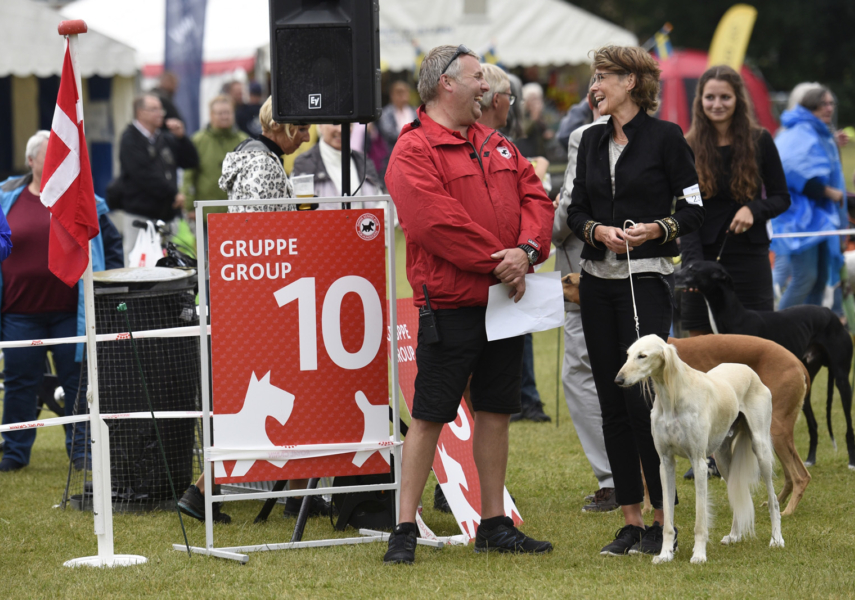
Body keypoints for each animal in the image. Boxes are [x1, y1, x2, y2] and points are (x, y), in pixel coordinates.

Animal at [616, 336, 788, 564]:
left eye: (642, 356)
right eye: (627, 355)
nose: (618, 379)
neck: (672, 396)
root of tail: (747, 369)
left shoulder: (698, 462)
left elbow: (700, 520)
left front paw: (698, 554)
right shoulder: (666, 463)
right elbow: (668, 520)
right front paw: (665, 553)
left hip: (761, 449)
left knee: (773, 500)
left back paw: (776, 539)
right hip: (723, 459)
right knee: (736, 492)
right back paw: (734, 535)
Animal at [680, 258, 852, 468]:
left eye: (693, 269)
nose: (675, 276)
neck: (735, 317)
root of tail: (832, 314)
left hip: (841, 380)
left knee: (848, 424)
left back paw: (851, 461)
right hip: (804, 386)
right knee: (813, 424)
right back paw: (810, 459)